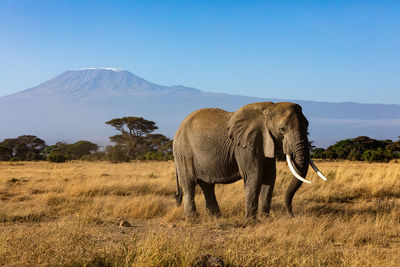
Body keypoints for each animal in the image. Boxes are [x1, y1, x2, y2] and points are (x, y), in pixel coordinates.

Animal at [173, 102, 326, 220]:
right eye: (282, 130)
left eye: (307, 127)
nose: (292, 216)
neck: (269, 108)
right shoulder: (244, 146)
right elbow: (254, 175)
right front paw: (252, 222)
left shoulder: (265, 142)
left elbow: (270, 177)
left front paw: (266, 219)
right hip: (183, 152)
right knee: (189, 183)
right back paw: (192, 219)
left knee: (207, 185)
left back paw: (216, 217)